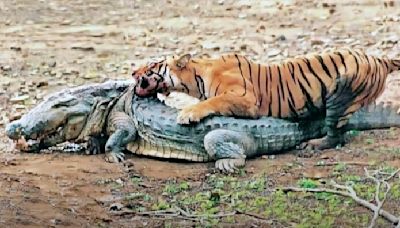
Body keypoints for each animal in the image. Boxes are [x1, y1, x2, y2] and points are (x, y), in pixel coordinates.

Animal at [132, 48, 400, 150]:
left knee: (336, 135)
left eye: (151, 65)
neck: (196, 77)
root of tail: (380, 59)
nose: (133, 73)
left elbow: (212, 102)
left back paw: (313, 145)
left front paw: (187, 114)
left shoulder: (246, 98)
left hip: (341, 94)